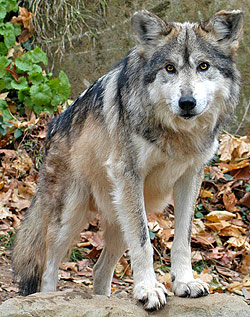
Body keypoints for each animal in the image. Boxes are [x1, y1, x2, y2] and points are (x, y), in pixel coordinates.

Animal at [12, 9, 243, 308]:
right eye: (169, 68)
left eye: (203, 66)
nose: (187, 102)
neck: (177, 136)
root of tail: (53, 126)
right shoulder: (130, 175)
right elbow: (144, 245)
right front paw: (149, 289)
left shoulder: (190, 178)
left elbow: (182, 240)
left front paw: (185, 283)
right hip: (73, 215)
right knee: (48, 268)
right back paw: (49, 298)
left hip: (121, 214)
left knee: (99, 271)